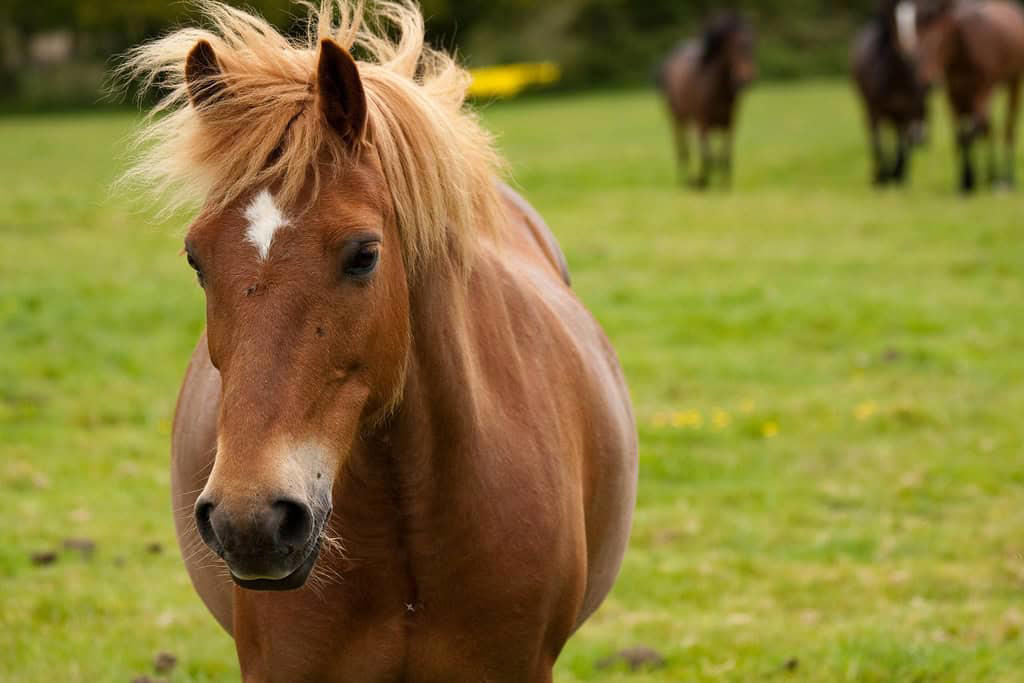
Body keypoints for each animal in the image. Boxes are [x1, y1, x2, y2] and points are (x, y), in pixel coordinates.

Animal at [657, 12, 757, 188]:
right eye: (737, 47)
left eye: (753, 45)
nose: (745, 80)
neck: (717, 88)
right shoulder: (703, 122)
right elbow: (707, 154)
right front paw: (702, 181)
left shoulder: (730, 123)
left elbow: (725, 154)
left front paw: (725, 184)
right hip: (677, 118)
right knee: (683, 149)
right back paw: (686, 180)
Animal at [851, 0, 931, 185]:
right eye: (892, 18)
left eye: (917, 17)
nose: (909, 52)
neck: (896, 77)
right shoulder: (874, 111)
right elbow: (878, 143)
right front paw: (881, 177)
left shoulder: (907, 111)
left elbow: (903, 144)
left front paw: (898, 175)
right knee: (877, 138)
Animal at [916, 0, 1024, 191]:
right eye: (917, 35)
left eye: (940, 39)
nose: (927, 83)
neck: (962, 56)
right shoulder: (953, 95)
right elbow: (961, 136)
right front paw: (965, 181)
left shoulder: (982, 91)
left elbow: (971, 132)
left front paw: (969, 179)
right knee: (989, 128)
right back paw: (991, 175)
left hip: (1014, 82)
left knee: (1007, 129)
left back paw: (1006, 178)